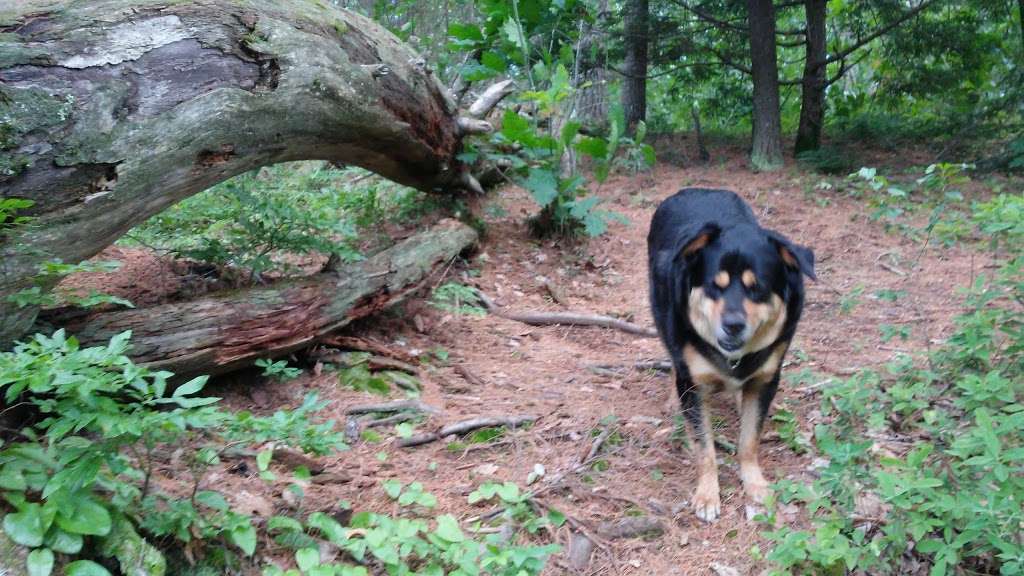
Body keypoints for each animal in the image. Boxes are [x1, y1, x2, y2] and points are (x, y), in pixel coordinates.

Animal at [647, 188, 815, 520]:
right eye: (715, 286)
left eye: (758, 288)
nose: (733, 324)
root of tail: (694, 189)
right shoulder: (694, 385)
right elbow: (705, 448)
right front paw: (707, 495)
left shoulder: (766, 380)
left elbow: (749, 440)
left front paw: (755, 484)